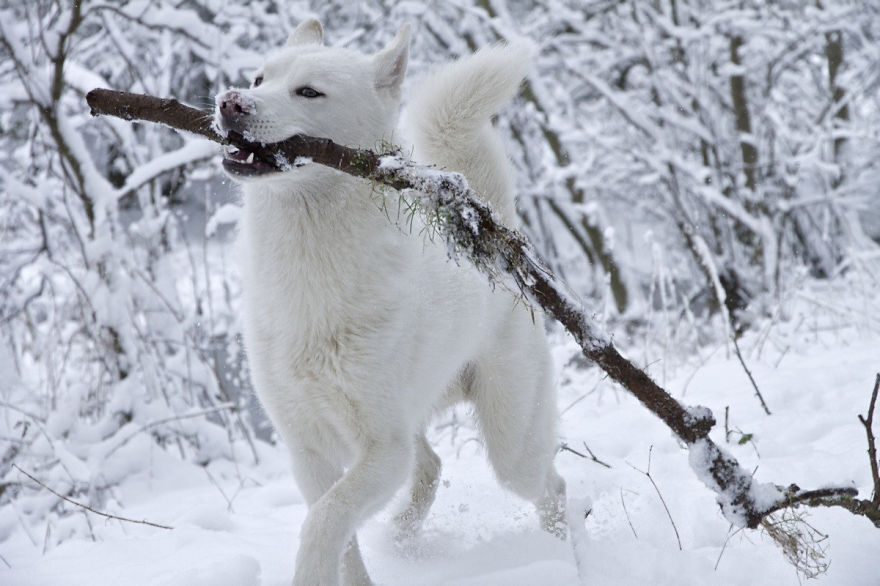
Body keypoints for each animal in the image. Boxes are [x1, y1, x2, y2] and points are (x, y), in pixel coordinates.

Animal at [217, 18, 568, 584]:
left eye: (308, 92)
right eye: (258, 78)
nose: (230, 102)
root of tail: (495, 234)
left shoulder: (382, 450)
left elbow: (325, 521)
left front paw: (308, 572)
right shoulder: (307, 447)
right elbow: (341, 536)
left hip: (511, 443)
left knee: (552, 489)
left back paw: (568, 556)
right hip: (419, 423)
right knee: (431, 468)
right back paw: (403, 536)